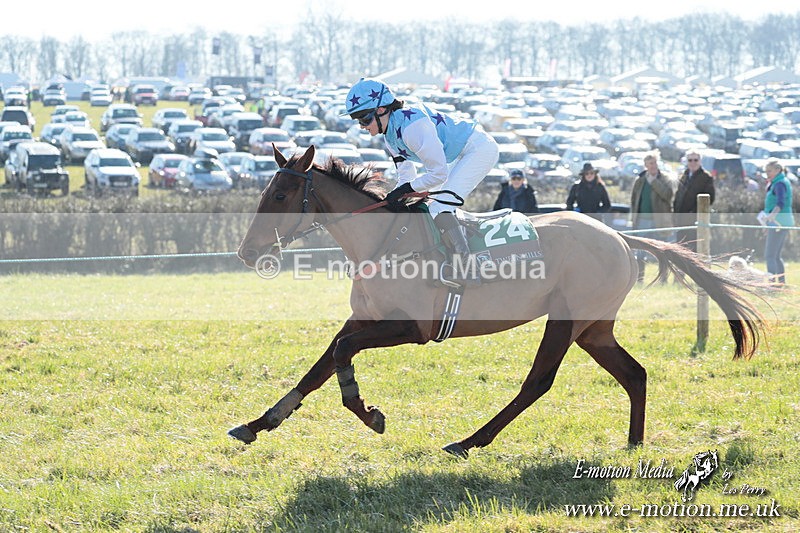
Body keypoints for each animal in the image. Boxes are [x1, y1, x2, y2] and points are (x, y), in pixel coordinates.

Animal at [229, 145, 763, 458]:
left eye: (280, 195)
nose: (247, 252)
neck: (385, 241)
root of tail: (619, 236)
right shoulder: (362, 319)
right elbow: (319, 365)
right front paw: (259, 422)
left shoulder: (412, 329)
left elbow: (340, 356)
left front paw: (368, 412)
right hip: (594, 329)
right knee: (634, 373)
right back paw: (633, 445)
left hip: (566, 319)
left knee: (538, 382)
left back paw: (469, 441)